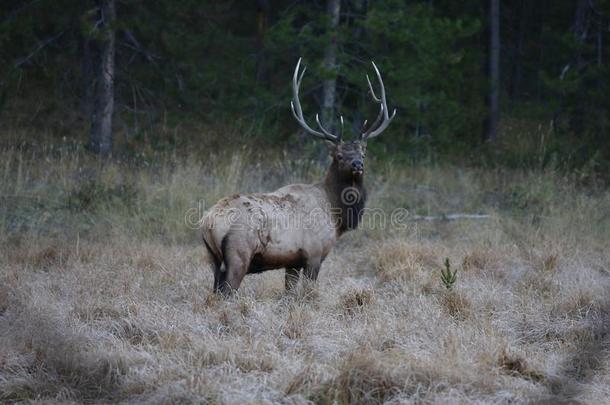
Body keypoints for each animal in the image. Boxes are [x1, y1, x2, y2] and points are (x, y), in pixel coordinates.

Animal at [200, 58, 394, 292]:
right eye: (338, 155)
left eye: (363, 153)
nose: (357, 164)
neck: (336, 214)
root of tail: (207, 222)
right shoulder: (314, 254)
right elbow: (308, 293)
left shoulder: (292, 262)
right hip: (238, 253)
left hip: (213, 259)